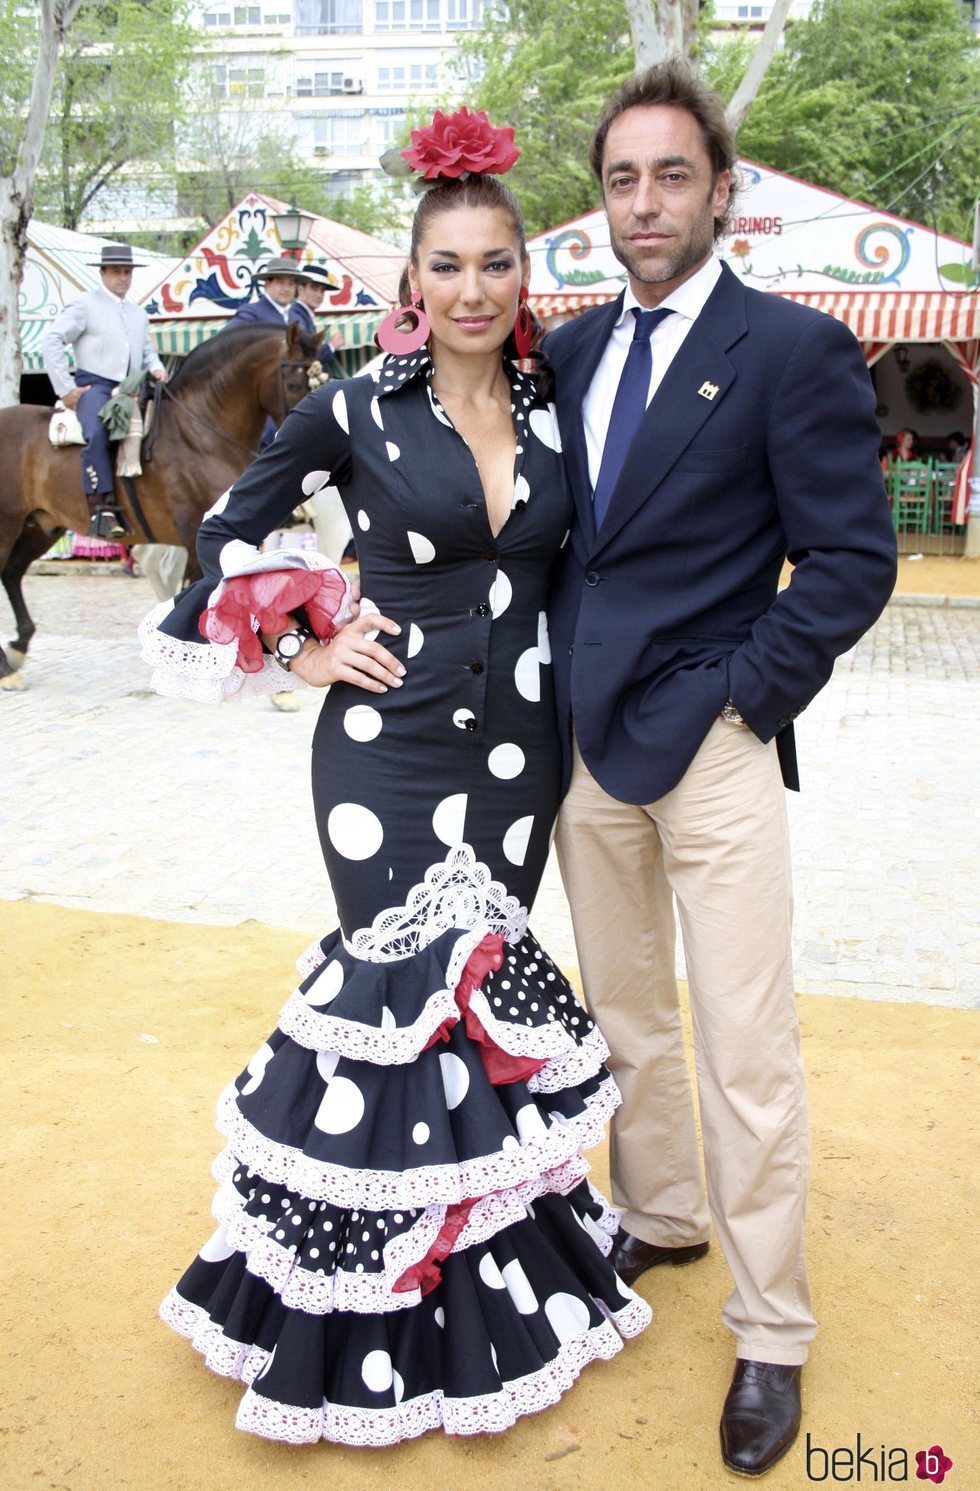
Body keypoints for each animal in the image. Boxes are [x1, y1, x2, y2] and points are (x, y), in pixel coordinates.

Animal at [0, 323, 320, 688]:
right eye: (294, 384)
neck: (199, 435)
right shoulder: (195, 538)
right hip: (8, 524)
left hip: (40, 526)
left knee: (11, 573)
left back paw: (17, 650)